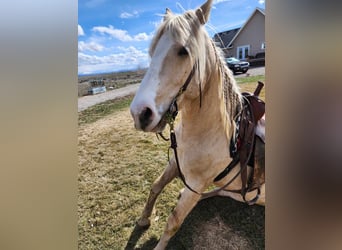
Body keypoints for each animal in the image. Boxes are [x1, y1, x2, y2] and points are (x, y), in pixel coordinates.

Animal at [130, 0, 266, 249]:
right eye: (152, 51)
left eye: (183, 51)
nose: (140, 113)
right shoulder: (176, 163)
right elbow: (155, 186)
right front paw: (144, 219)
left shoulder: (197, 182)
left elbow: (173, 221)